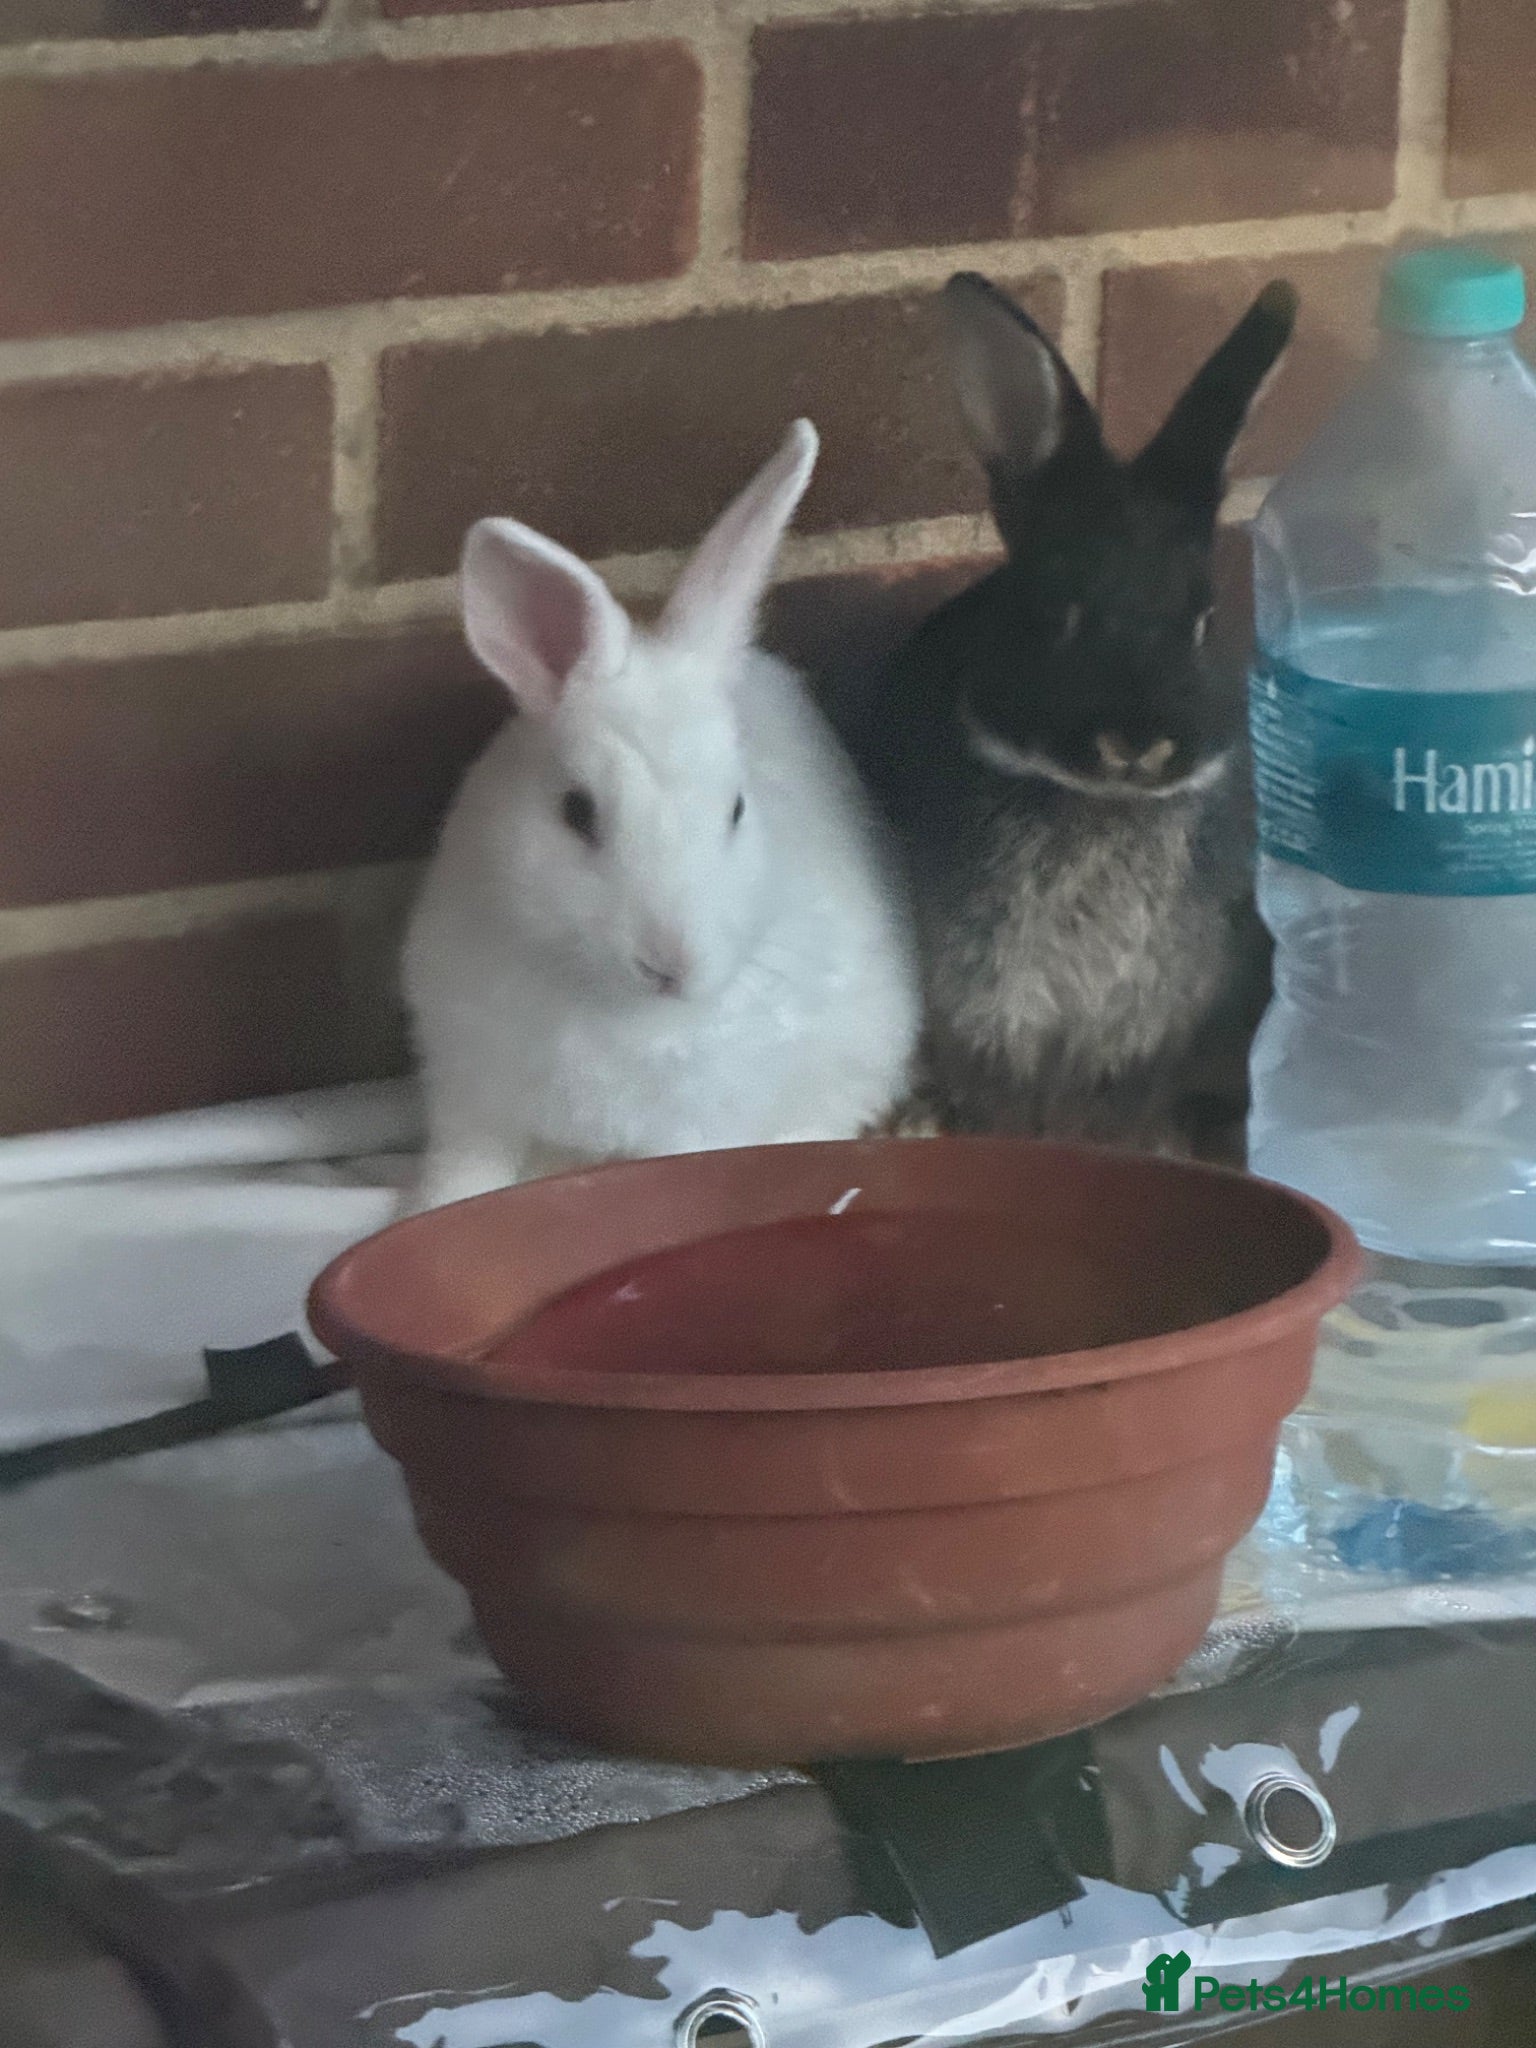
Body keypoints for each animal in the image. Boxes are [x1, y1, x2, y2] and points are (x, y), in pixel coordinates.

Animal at [402, 420, 923, 1213]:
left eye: (736, 808)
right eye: (577, 811)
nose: (670, 966)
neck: (607, 1001)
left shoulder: (688, 1126)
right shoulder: (471, 1092)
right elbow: (463, 1175)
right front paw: (432, 1216)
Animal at [855, 273, 1298, 1162]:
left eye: (1203, 620)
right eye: (1056, 611)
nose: (1140, 743)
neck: (1100, 805)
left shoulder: (1146, 1024)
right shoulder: (986, 1005)